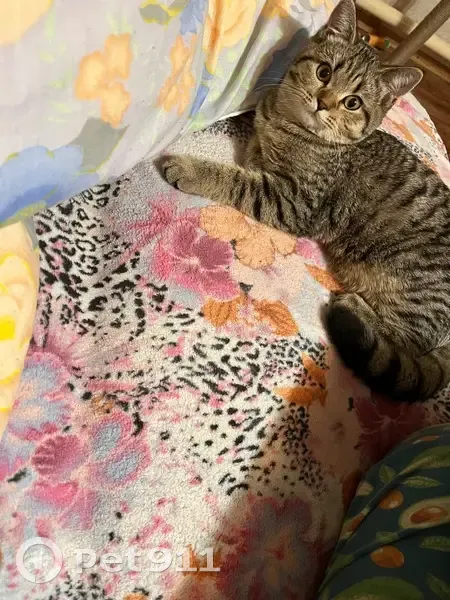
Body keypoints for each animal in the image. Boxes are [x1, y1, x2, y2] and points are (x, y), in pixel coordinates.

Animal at [162, 0, 450, 403]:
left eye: (353, 102)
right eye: (324, 72)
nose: (323, 102)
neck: (286, 123)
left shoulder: (293, 200)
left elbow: (237, 180)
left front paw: (190, 169)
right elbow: (254, 152)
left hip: (407, 283)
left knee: (407, 342)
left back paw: (355, 310)